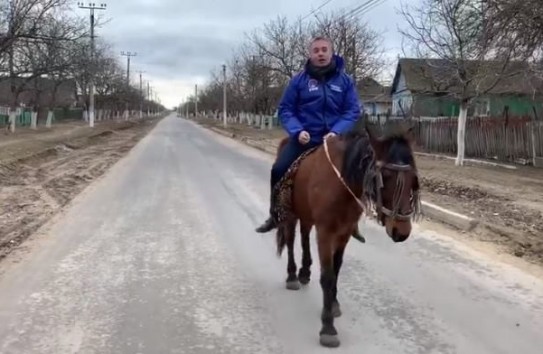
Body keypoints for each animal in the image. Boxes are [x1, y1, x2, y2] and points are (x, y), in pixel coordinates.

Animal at [272, 125, 420, 348]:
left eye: (413, 178)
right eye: (385, 176)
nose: (401, 231)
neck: (341, 184)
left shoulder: (344, 233)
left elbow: (337, 269)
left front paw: (333, 304)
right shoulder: (325, 233)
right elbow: (327, 276)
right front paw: (328, 327)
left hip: (307, 215)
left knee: (304, 235)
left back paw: (305, 271)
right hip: (291, 214)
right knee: (290, 241)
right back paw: (292, 276)